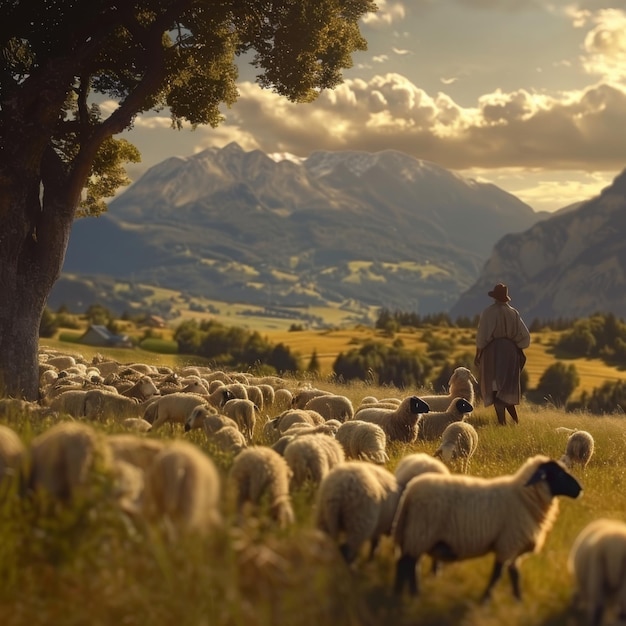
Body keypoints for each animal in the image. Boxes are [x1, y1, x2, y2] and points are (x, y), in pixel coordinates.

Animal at [390, 454, 580, 600]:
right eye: (559, 474)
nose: (579, 489)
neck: (522, 498)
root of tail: (411, 490)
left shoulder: (514, 548)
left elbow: (515, 575)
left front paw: (518, 600)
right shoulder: (508, 543)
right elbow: (497, 575)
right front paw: (485, 599)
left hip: (416, 535)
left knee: (407, 565)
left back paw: (404, 594)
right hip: (421, 533)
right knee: (407, 565)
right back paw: (409, 596)